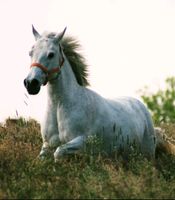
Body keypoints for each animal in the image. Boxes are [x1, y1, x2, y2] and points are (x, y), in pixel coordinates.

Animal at [23, 26, 175, 161]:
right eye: (30, 52)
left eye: (51, 54)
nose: (31, 83)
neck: (60, 105)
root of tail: (142, 108)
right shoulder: (47, 145)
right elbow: (42, 159)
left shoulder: (83, 142)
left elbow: (59, 152)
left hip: (146, 155)